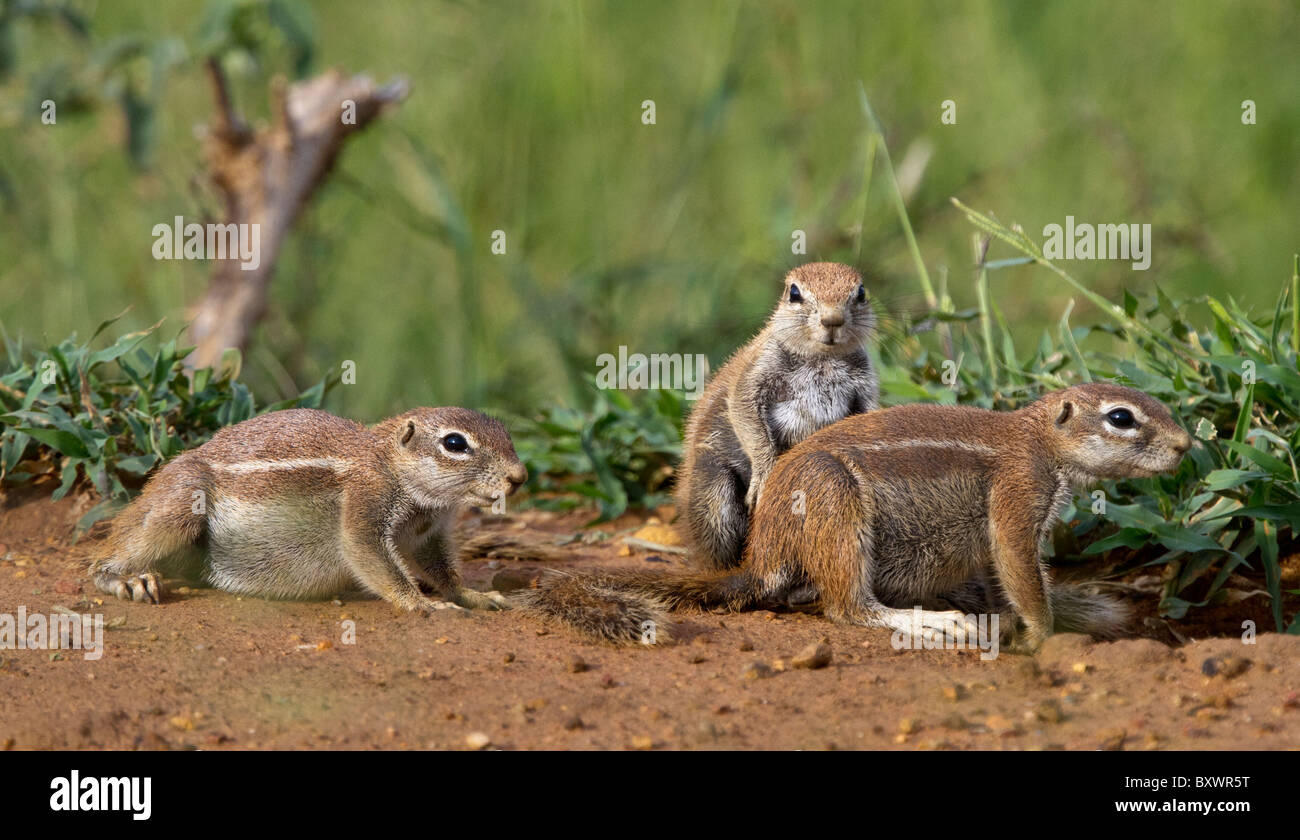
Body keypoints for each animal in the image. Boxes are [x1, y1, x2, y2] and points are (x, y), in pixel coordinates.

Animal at [87, 405, 527, 611]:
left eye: (507, 435)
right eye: (455, 444)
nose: (519, 477)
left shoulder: (429, 535)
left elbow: (442, 570)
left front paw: (472, 595)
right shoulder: (365, 503)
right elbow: (370, 556)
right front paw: (422, 603)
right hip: (180, 502)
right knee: (104, 559)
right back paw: (127, 579)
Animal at [522, 384, 1190, 647]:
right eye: (1122, 418)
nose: (1187, 446)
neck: (1039, 440)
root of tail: (761, 556)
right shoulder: (1017, 494)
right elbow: (1018, 566)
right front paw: (1044, 637)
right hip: (835, 503)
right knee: (846, 607)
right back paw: (929, 622)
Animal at [676, 262, 878, 574]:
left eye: (861, 292)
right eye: (794, 293)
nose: (832, 320)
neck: (823, 358)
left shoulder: (865, 386)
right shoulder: (755, 373)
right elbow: (746, 415)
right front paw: (765, 476)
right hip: (713, 490)